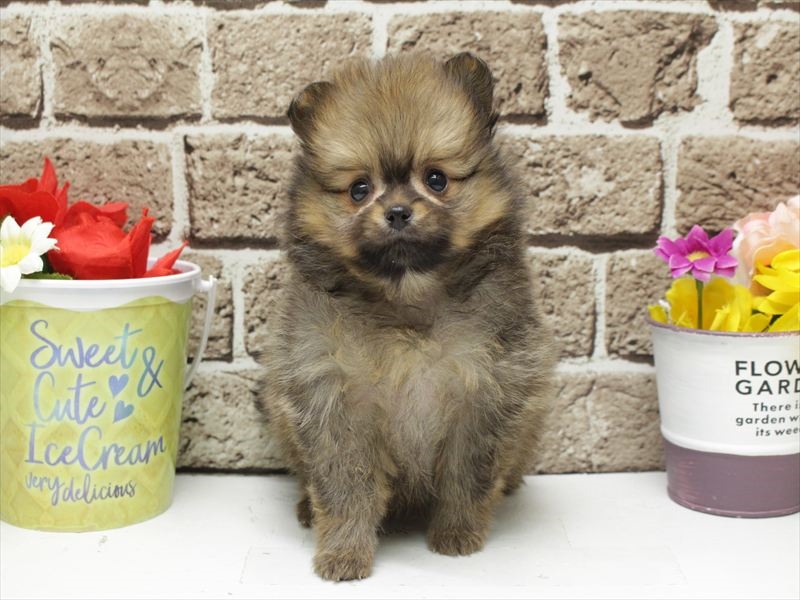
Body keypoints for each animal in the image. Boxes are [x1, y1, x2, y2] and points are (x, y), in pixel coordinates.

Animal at [257, 52, 555, 581]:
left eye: (435, 179)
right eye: (359, 189)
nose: (397, 211)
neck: (406, 300)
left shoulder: (484, 391)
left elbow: (467, 477)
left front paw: (457, 534)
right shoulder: (333, 397)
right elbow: (345, 489)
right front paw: (343, 554)